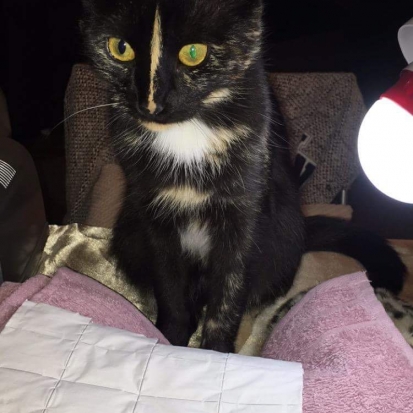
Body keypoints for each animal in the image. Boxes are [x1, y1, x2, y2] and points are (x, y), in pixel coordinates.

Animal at [80, 0, 406, 353]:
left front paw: (216, 351)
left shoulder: (244, 207)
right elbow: (169, 282)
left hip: (282, 240)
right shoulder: (152, 209)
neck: (186, 135)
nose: (151, 105)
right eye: (120, 49)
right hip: (129, 233)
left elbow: (229, 287)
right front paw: (170, 341)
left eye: (193, 52)